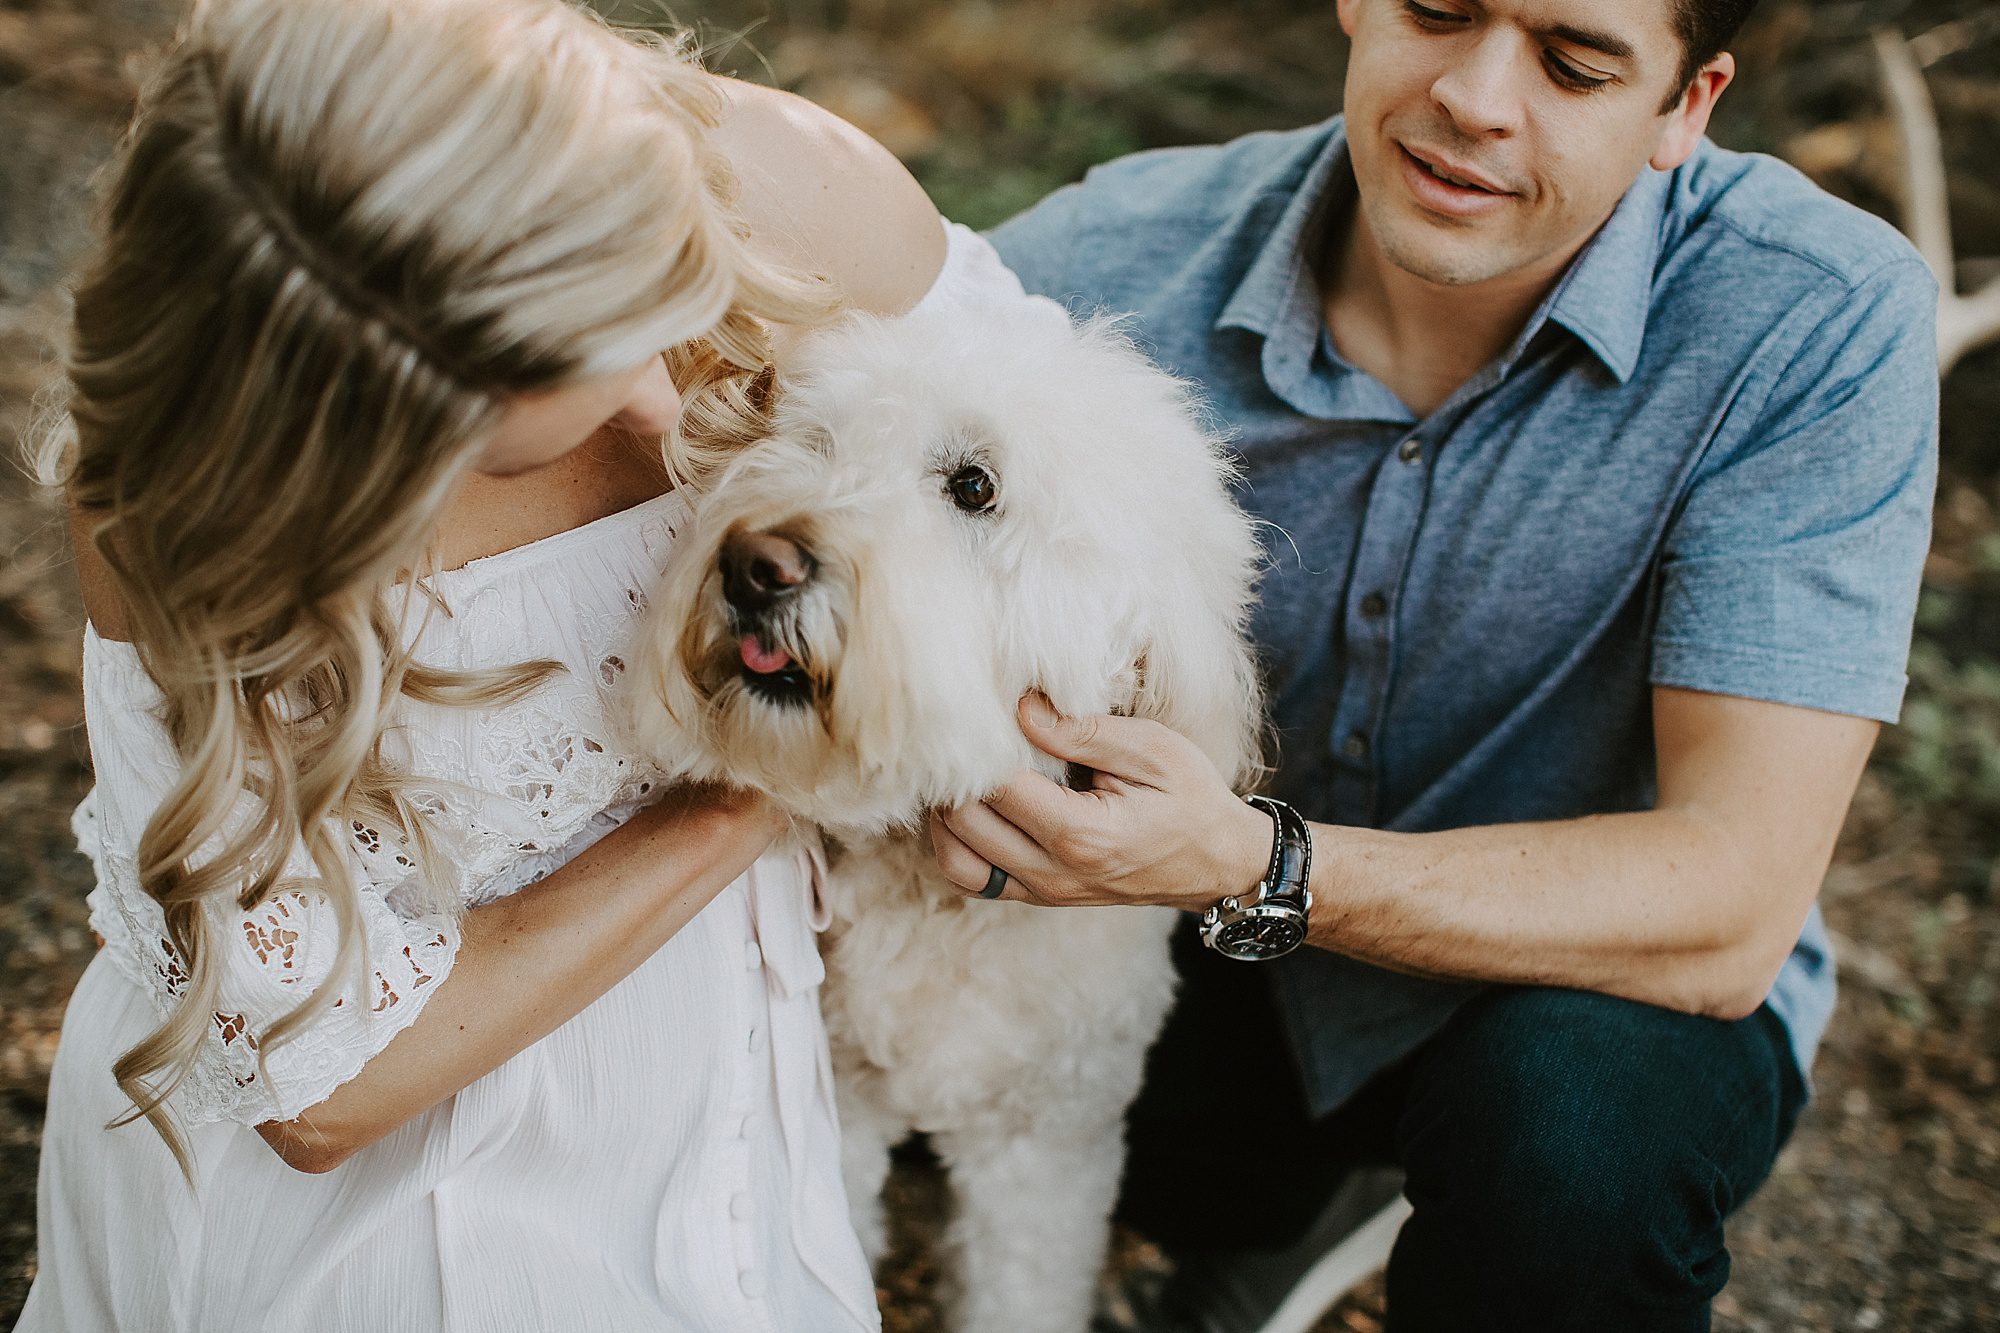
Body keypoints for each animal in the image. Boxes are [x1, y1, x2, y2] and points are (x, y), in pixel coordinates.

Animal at [624, 241, 1264, 1328]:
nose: (755, 564)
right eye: (814, 441)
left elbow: (1021, 1288)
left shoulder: (1048, 1149)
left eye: (973, 485)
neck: (938, 900)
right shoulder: (837, 1104)